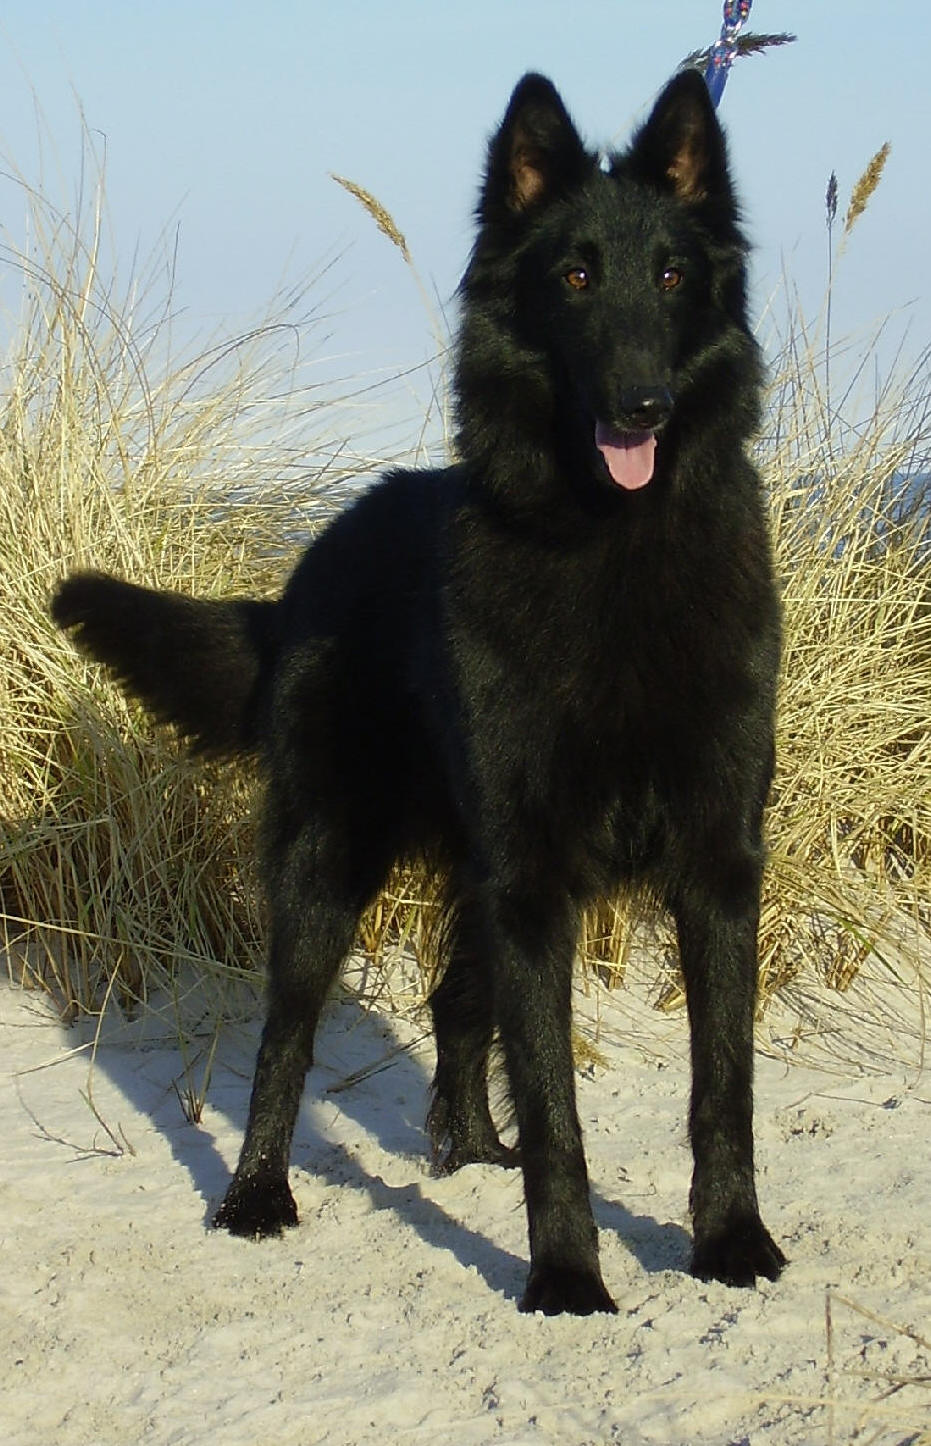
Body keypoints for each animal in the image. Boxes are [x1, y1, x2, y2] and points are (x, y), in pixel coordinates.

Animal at [52, 73, 786, 1318]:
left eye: (672, 276)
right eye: (574, 277)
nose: (641, 407)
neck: (612, 549)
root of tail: (299, 577)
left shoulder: (713, 870)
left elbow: (720, 1087)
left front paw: (732, 1241)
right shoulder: (533, 879)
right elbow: (559, 1107)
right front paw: (566, 1276)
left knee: (452, 1004)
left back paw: (471, 1147)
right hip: (327, 867)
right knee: (283, 1044)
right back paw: (256, 1196)